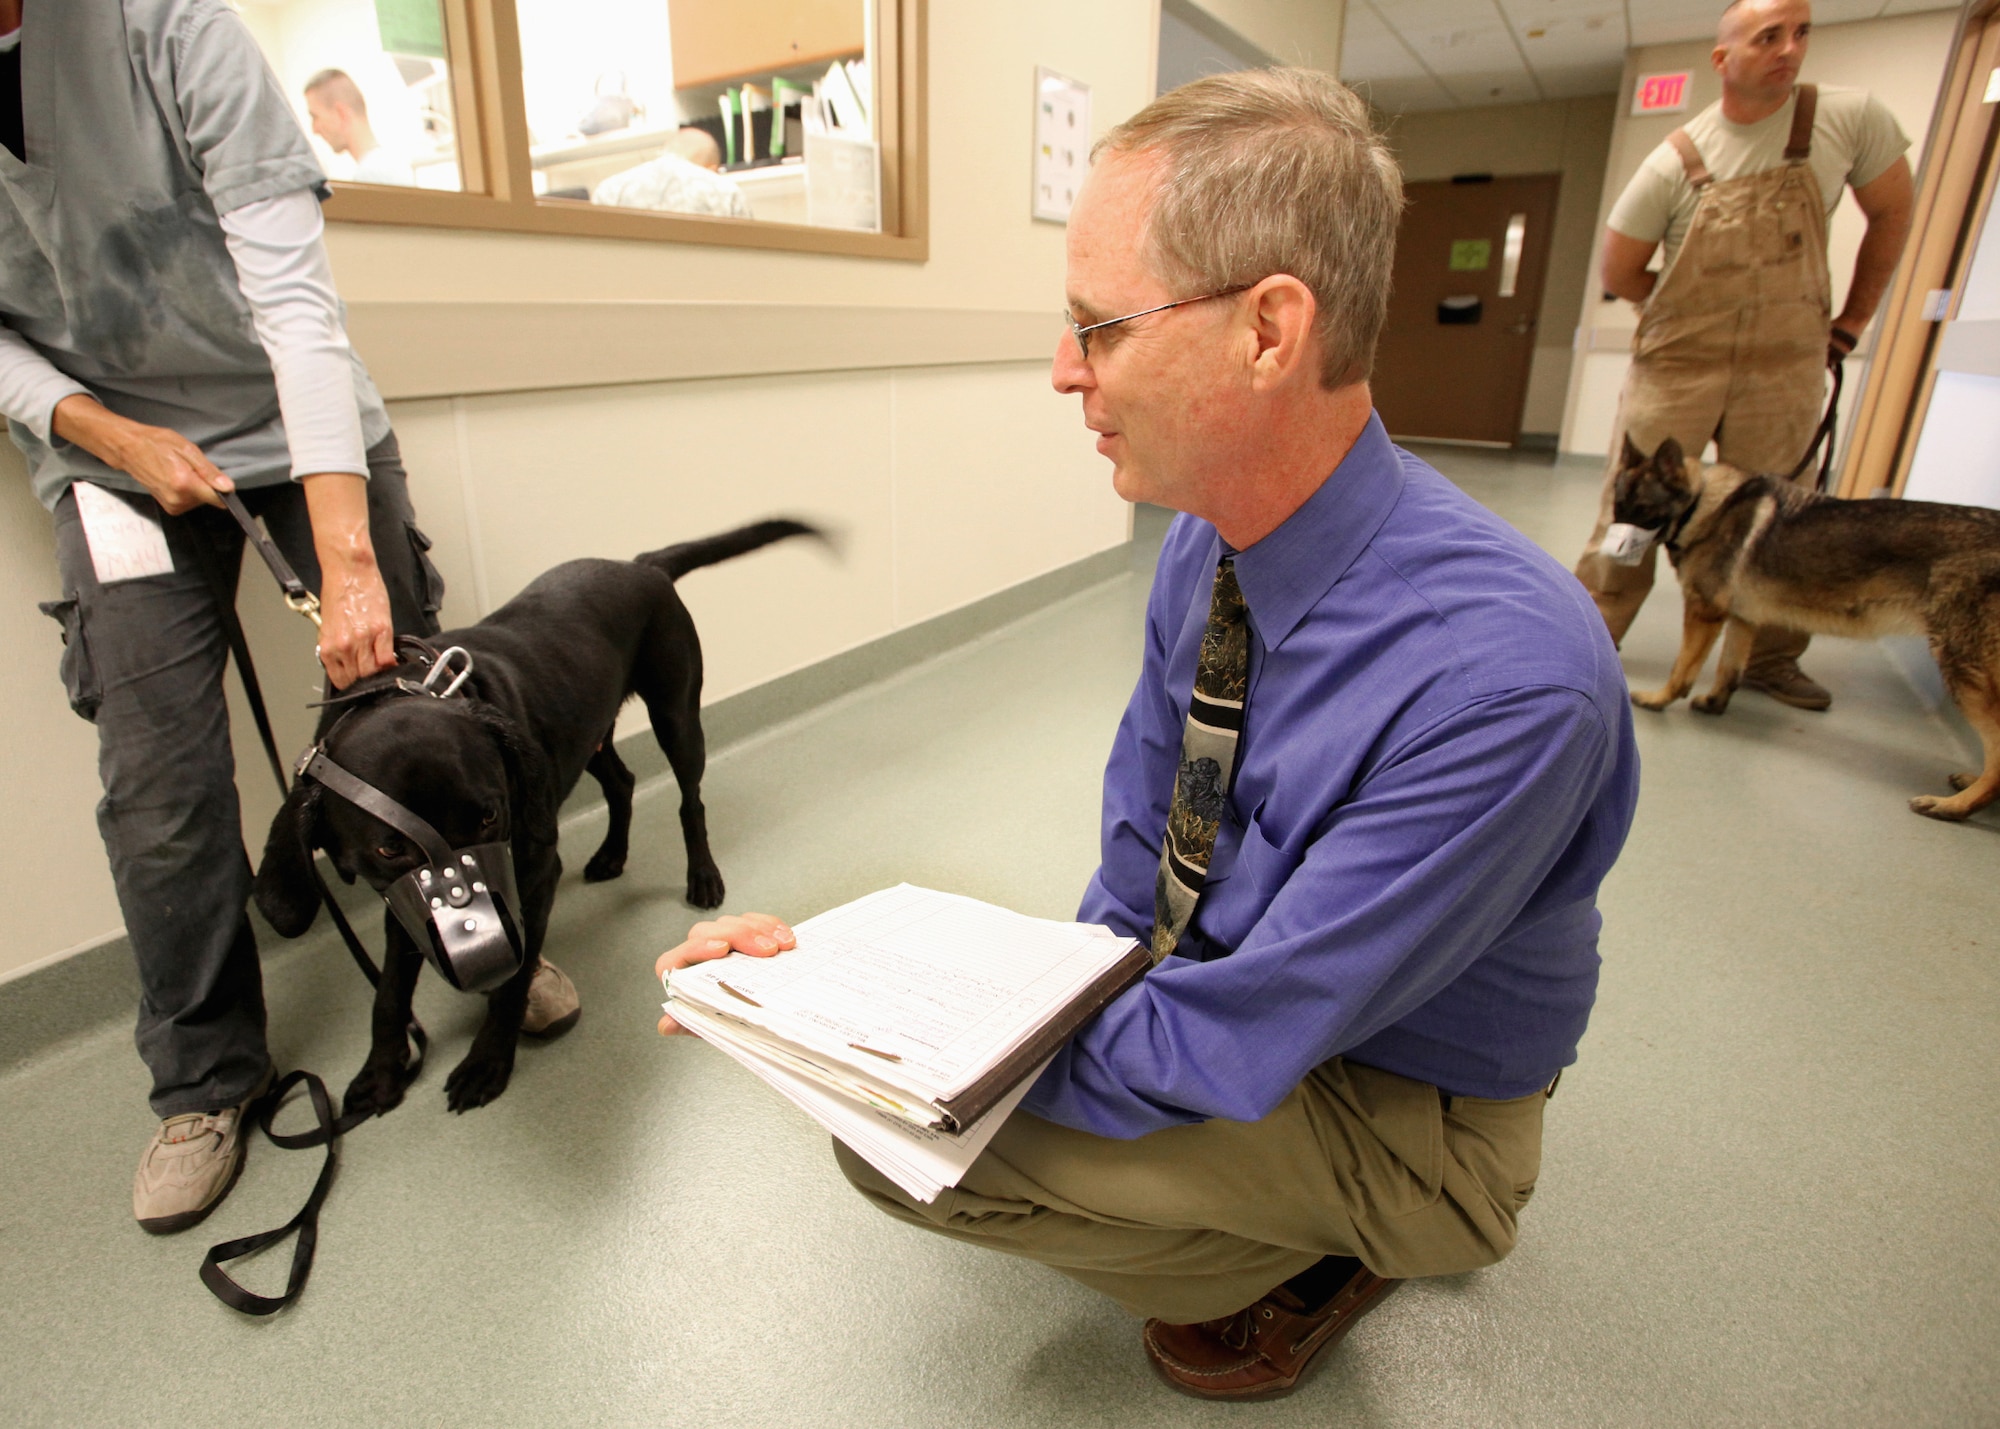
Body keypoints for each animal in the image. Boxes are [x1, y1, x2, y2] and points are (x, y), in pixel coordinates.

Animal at [258, 520, 820, 1112]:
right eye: (390, 846)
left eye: (490, 817)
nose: (486, 958)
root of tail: (637, 565)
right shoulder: (398, 896)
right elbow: (388, 993)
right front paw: (380, 1072)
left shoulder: (531, 871)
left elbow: (513, 982)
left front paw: (487, 1061)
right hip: (585, 735)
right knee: (622, 782)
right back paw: (611, 855)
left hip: (676, 715)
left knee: (691, 801)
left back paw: (703, 875)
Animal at [1608, 428, 2000, 816]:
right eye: (1616, 506)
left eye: (1642, 509)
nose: (1613, 546)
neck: (1704, 503)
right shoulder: (1743, 619)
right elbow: (1729, 670)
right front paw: (1715, 703)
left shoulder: (1704, 611)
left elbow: (1682, 668)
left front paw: (1658, 699)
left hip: (1961, 668)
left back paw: (1955, 805)